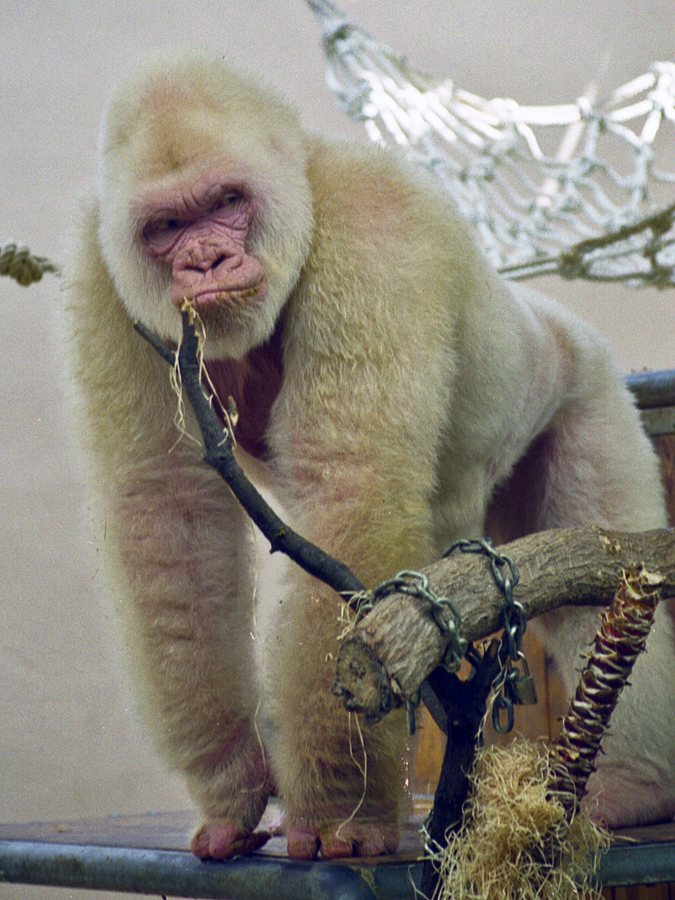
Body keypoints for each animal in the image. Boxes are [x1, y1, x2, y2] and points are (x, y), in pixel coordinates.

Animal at [64, 53, 674, 860]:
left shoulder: (374, 222)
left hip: (587, 385)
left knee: (601, 579)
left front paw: (338, 806)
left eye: (226, 202)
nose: (206, 259)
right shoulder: (100, 275)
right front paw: (231, 777)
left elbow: (350, 486)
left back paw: (635, 785)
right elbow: (167, 514)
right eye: (167, 226)